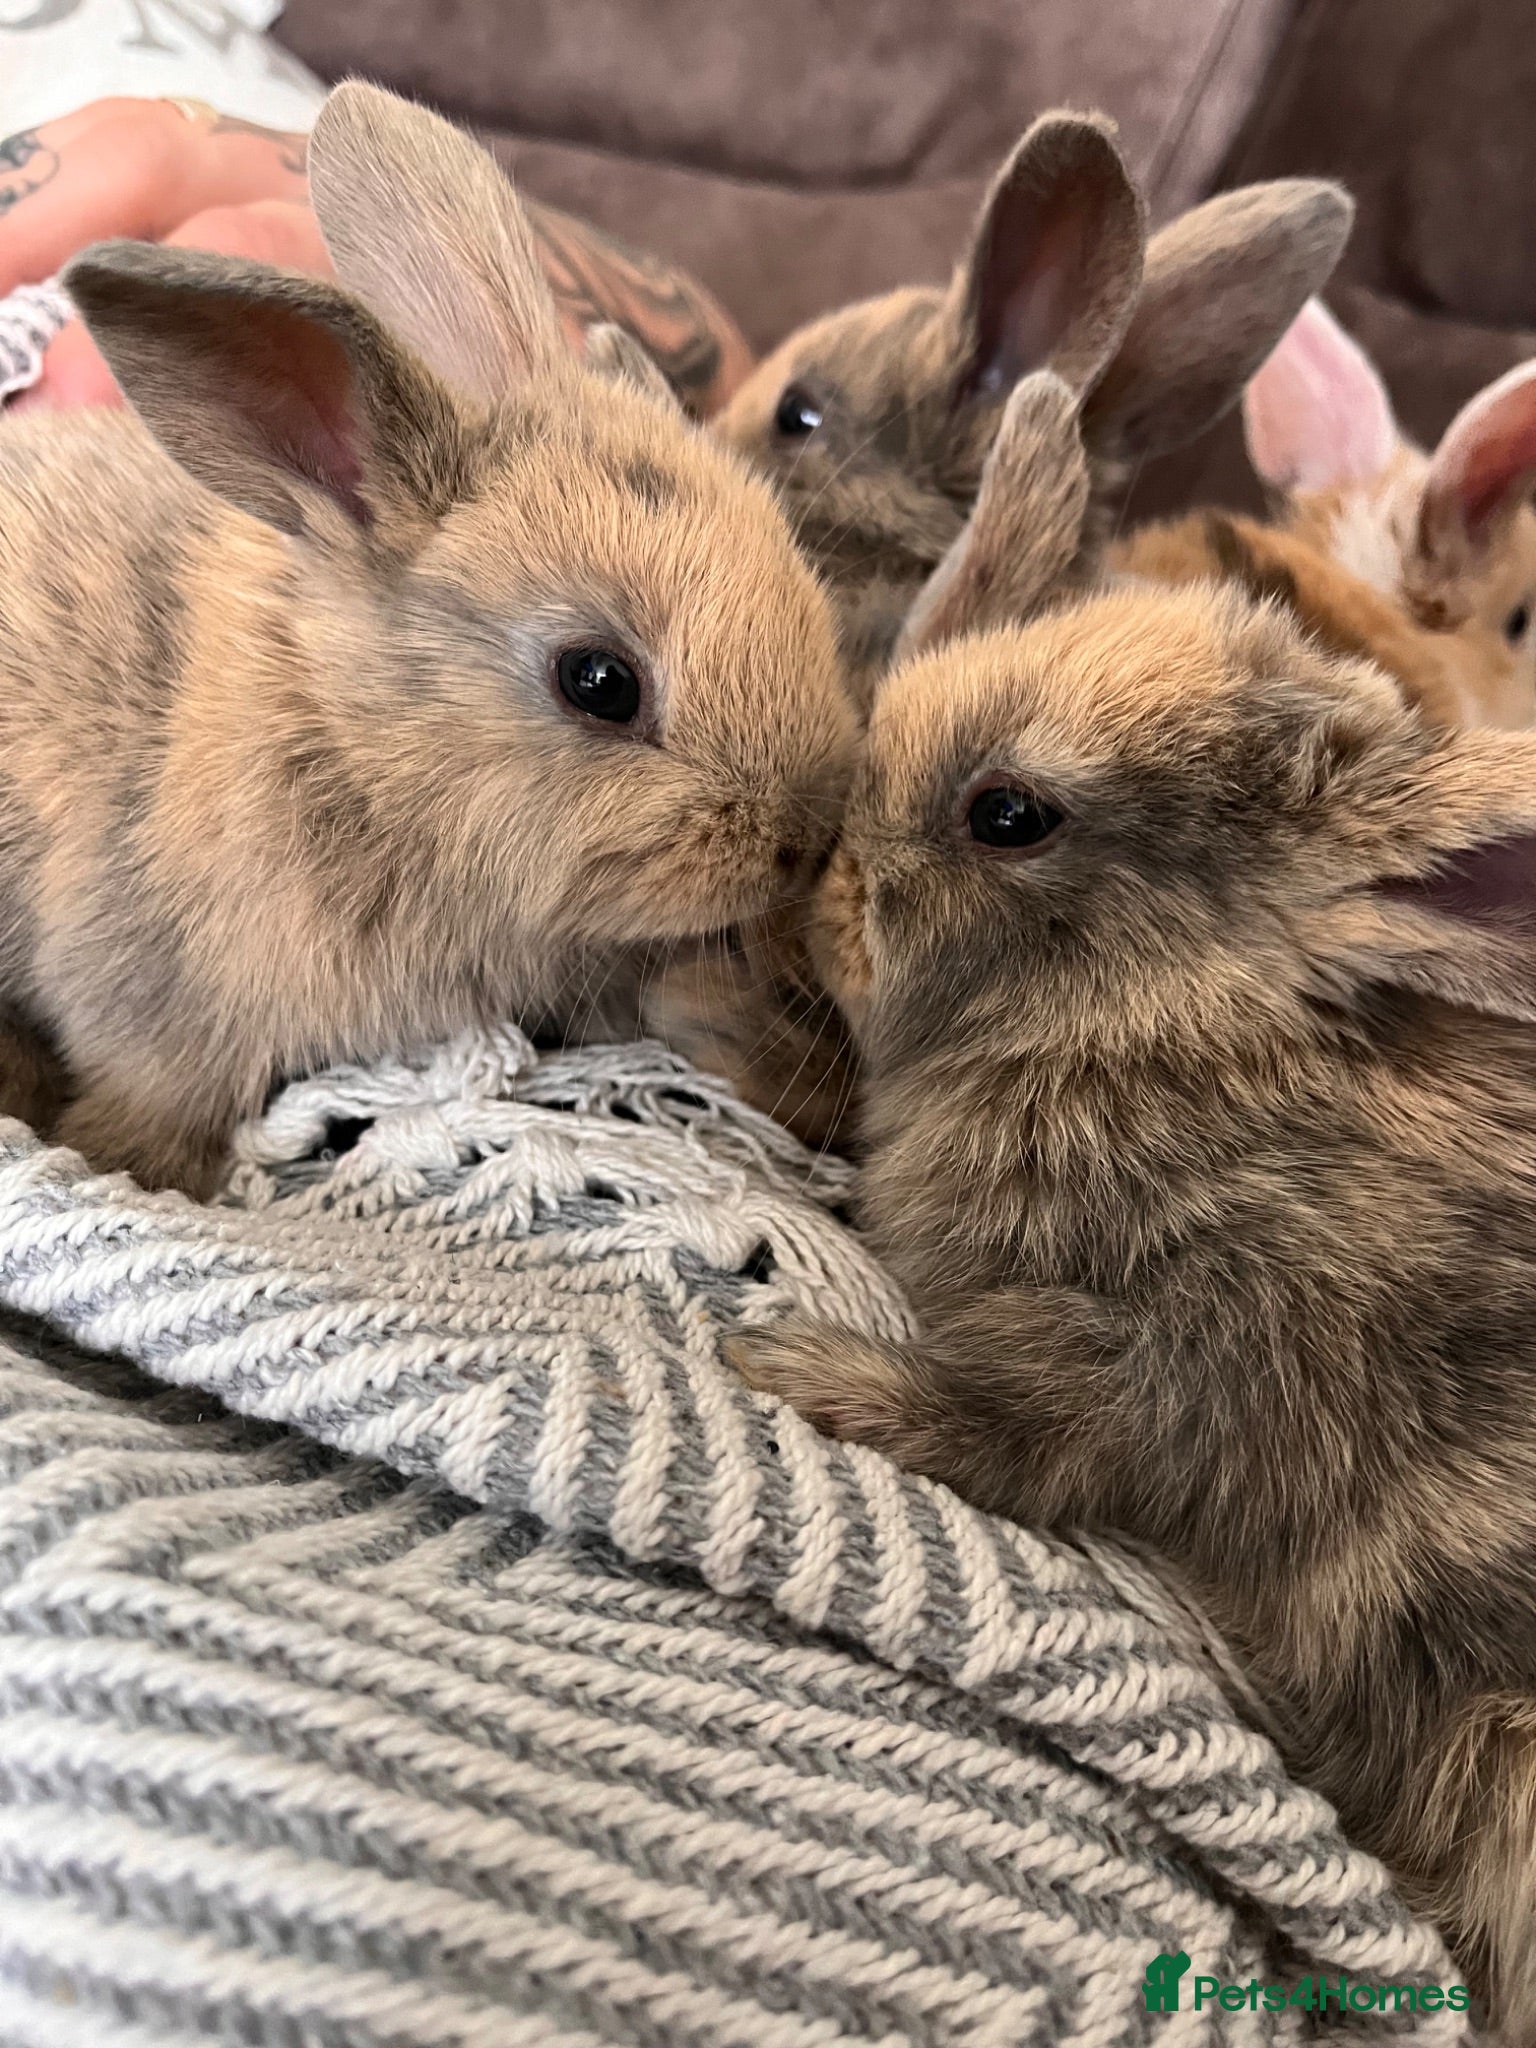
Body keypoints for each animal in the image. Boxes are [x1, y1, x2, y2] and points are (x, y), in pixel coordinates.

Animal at [0, 81, 855, 1199]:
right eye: (598, 680)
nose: (805, 840)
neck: (354, 749)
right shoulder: (151, 990)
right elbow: (151, 1094)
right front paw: (138, 1169)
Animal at [735, 374, 1536, 2033]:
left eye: (1010, 816)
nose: (819, 885)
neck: (1162, 1018)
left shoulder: (1196, 1368)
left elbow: (1022, 1428)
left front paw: (797, 1370)